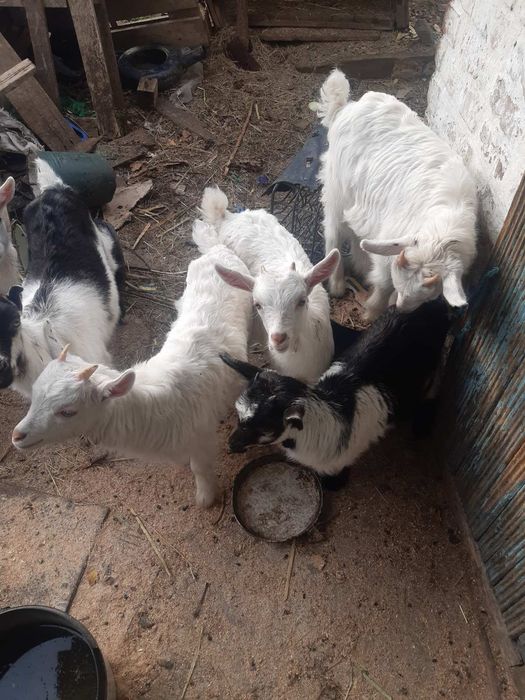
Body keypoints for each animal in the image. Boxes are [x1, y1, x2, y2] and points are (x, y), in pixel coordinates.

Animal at [11, 231, 253, 507]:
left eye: (68, 411)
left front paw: (206, 498)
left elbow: (201, 469)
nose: (17, 436)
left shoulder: (202, 436)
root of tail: (217, 250)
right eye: (35, 395)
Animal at [317, 69, 478, 319]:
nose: (402, 309)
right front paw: (372, 312)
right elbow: (383, 283)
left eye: (429, 293)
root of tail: (346, 107)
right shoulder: (391, 242)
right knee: (334, 228)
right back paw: (337, 284)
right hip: (337, 185)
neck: (442, 228)